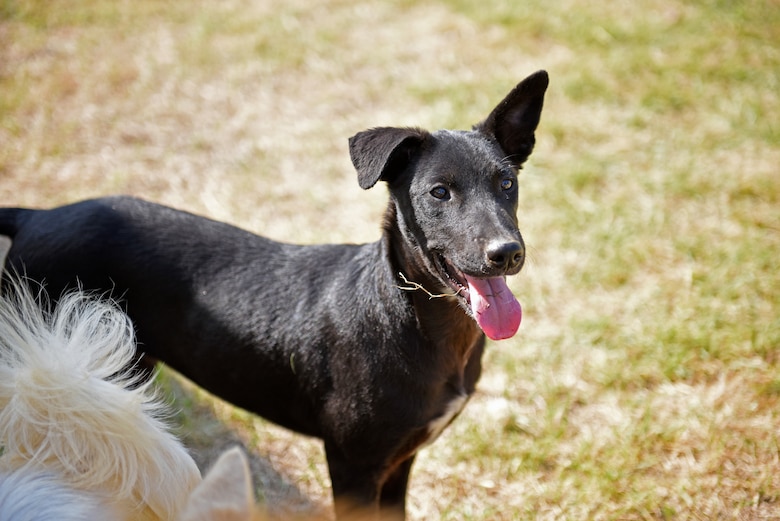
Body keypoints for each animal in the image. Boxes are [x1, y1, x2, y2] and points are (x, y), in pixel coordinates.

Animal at [0, 70, 548, 520]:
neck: (414, 319)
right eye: (439, 192)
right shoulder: (353, 464)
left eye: (506, 182)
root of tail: (36, 216)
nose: (507, 253)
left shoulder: (400, 461)